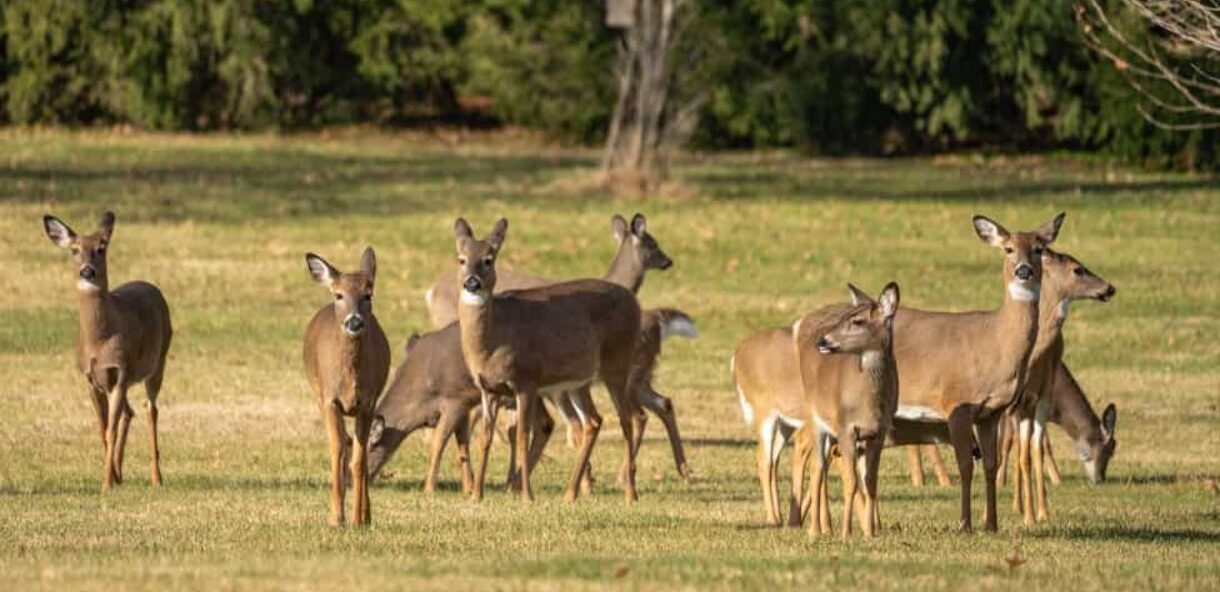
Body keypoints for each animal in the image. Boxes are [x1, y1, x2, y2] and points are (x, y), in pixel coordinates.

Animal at [43, 212, 172, 492]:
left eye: (101, 248)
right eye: (74, 250)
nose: (87, 270)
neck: (99, 341)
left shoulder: (120, 370)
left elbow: (110, 430)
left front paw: (106, 484)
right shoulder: (90, 378)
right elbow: (102, 429)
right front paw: (112, 476)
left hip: (158, 360)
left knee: (150, 409)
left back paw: (157, 478)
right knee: (130, 411)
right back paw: (121, 473)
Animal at [303, 248, 391, 527]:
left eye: (368, 294)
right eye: (338, 295)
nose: (354, 322)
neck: (350, 379)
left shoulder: (368, 403)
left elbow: (359, 461)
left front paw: (357, 519)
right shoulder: (330, 400)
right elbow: (338, 452)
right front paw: (335, 518)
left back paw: (367, 515)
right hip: (318, 397)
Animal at [453, 218, 645, 503]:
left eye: (488, 259)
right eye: (461, 259)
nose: (472, 283)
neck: (493, 340)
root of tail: (634, 301)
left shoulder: (526, 380)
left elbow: (523, 436)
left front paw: (527, 496)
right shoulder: (487, 388)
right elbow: (484, 437)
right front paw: (476, 496)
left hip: (617, 363)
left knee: (627, 420)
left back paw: (630, 494)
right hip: (579, 381)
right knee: (593, 420)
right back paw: (570, 494)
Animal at [731, 283, 898, 537]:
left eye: (858, 321)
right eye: (845, 318)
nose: (824, 341)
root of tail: (735, 356)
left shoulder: (877, 433)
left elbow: (869, 482)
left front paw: (869, 532)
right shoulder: (842, 429)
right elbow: (847, 478)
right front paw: (845, 532)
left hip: (786, 422)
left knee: (781, 458)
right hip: (768, 412)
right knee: (770, 459)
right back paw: (784, 521)